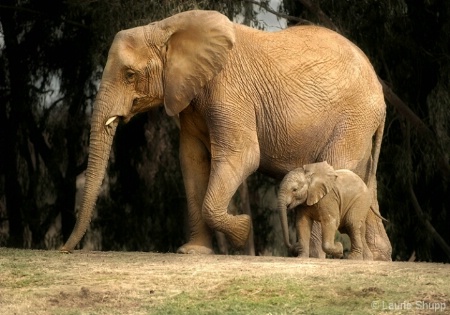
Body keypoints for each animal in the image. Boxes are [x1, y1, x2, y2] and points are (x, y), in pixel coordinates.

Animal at [59, 10, 390, 262]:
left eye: (129, 75)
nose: (64, 249)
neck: (167, 27)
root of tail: (381, 94)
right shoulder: (191, 98)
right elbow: (192, 161)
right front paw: (193, 252)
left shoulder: (228, 89)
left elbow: (242, 155)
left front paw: (243, 230)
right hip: (360, 126)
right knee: (363, 182)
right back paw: (373, 258)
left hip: (352, 120)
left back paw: (315, 258)